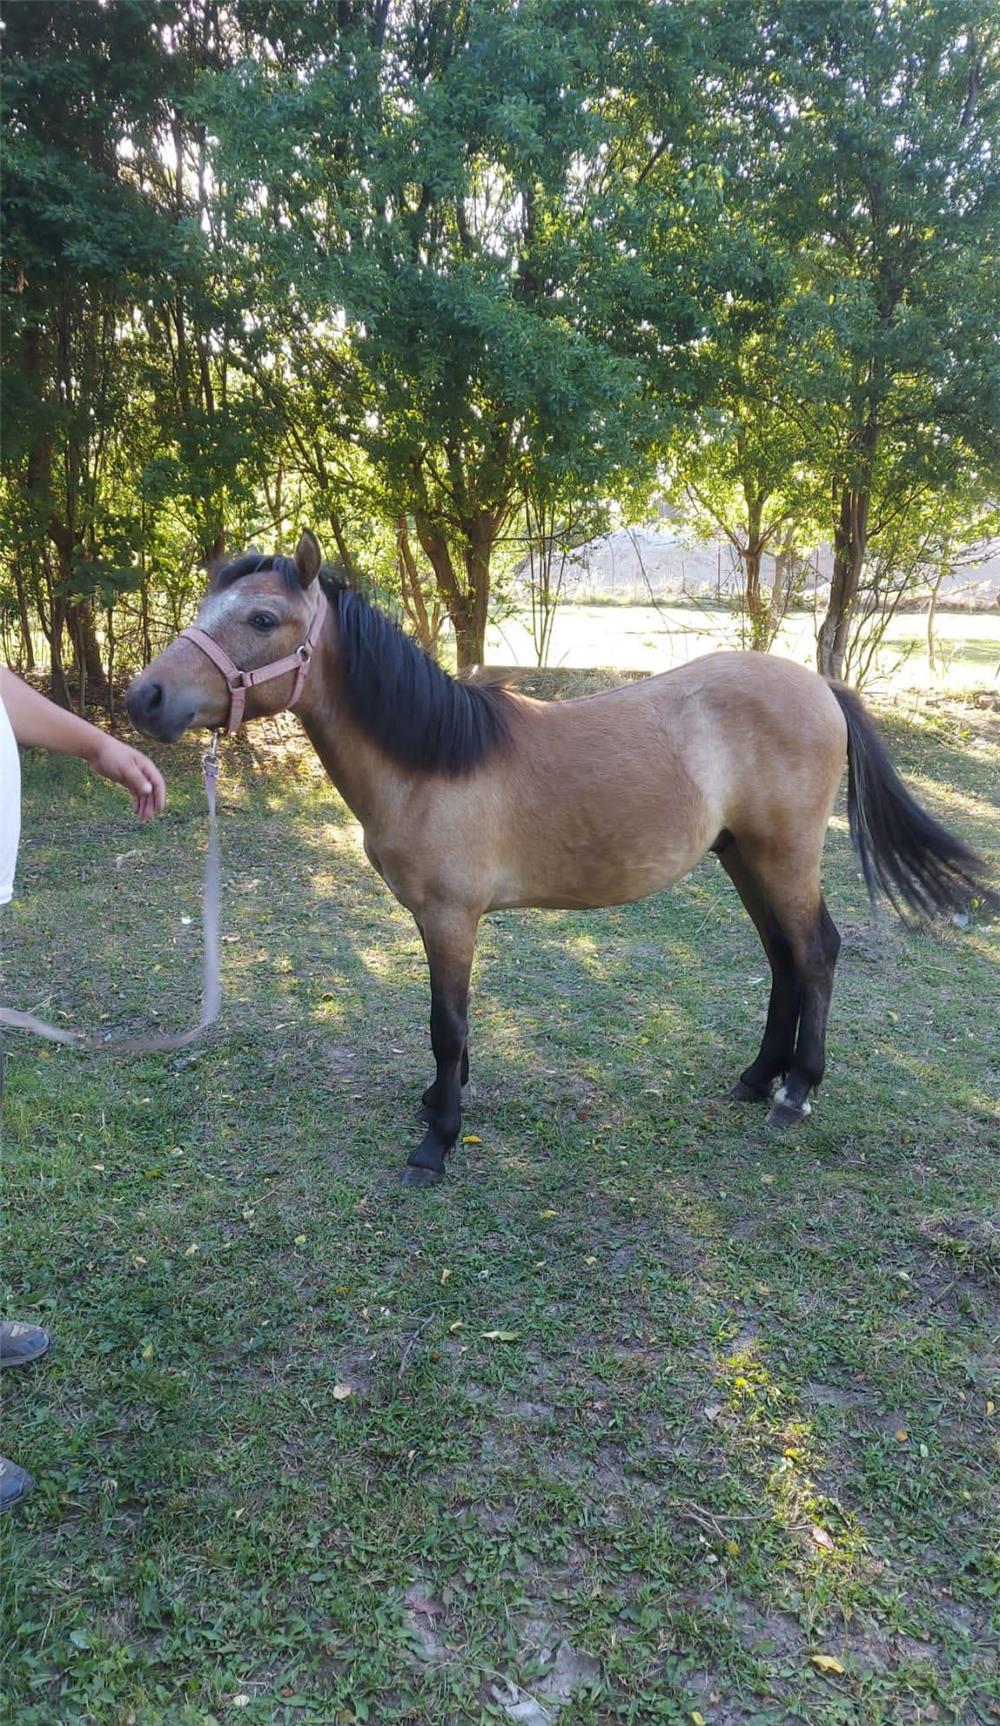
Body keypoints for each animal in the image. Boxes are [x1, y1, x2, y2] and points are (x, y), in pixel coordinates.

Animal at [126, 531, 987, 1186]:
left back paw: (795, 1093)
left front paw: (436, 1143)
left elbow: (447, 1025)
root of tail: (818, 686)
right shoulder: (435, 922)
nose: (145, 698)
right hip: (742, 857)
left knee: (816, 955)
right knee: (783, 959)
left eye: (263, 617)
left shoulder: (451, 917)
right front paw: (440, 1103)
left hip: (785, 855)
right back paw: (754, 1079)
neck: (432, 760)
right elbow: (450, 1027)